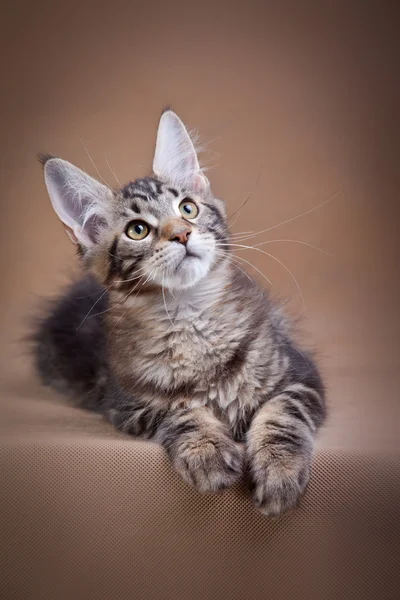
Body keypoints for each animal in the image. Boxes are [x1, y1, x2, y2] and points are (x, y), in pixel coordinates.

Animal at [32, 111, 326, 516]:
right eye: (137, 230)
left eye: (188, 209)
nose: (182, 234)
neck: (191, 317)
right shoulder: (126, 404)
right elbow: (180, 410)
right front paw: (207, 452)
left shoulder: (302, 377)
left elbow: (282, 415)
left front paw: (279, 470)